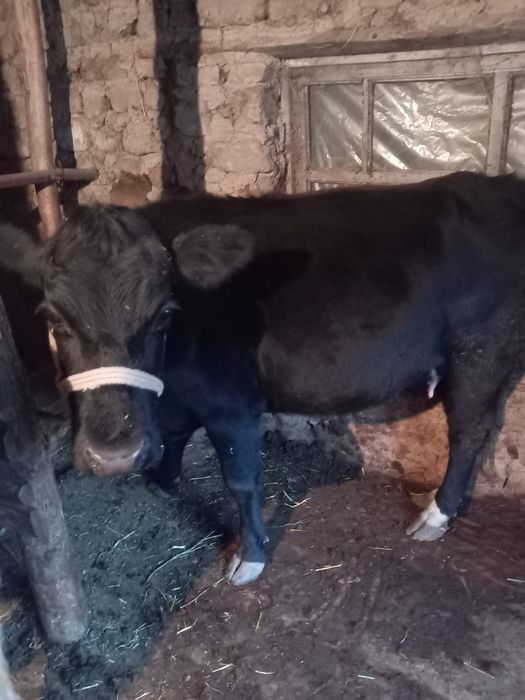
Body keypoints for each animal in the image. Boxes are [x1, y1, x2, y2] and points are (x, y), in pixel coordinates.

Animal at [2, 171, 525, 586]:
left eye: (164, 314)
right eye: (53, 320)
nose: (113, 455)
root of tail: (501, 186)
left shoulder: (232, 403)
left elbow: (241, 481)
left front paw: (250, 556)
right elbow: (174, 434)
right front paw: (163, 481)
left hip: (481, 351)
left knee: (468, 433)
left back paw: (436, 514)